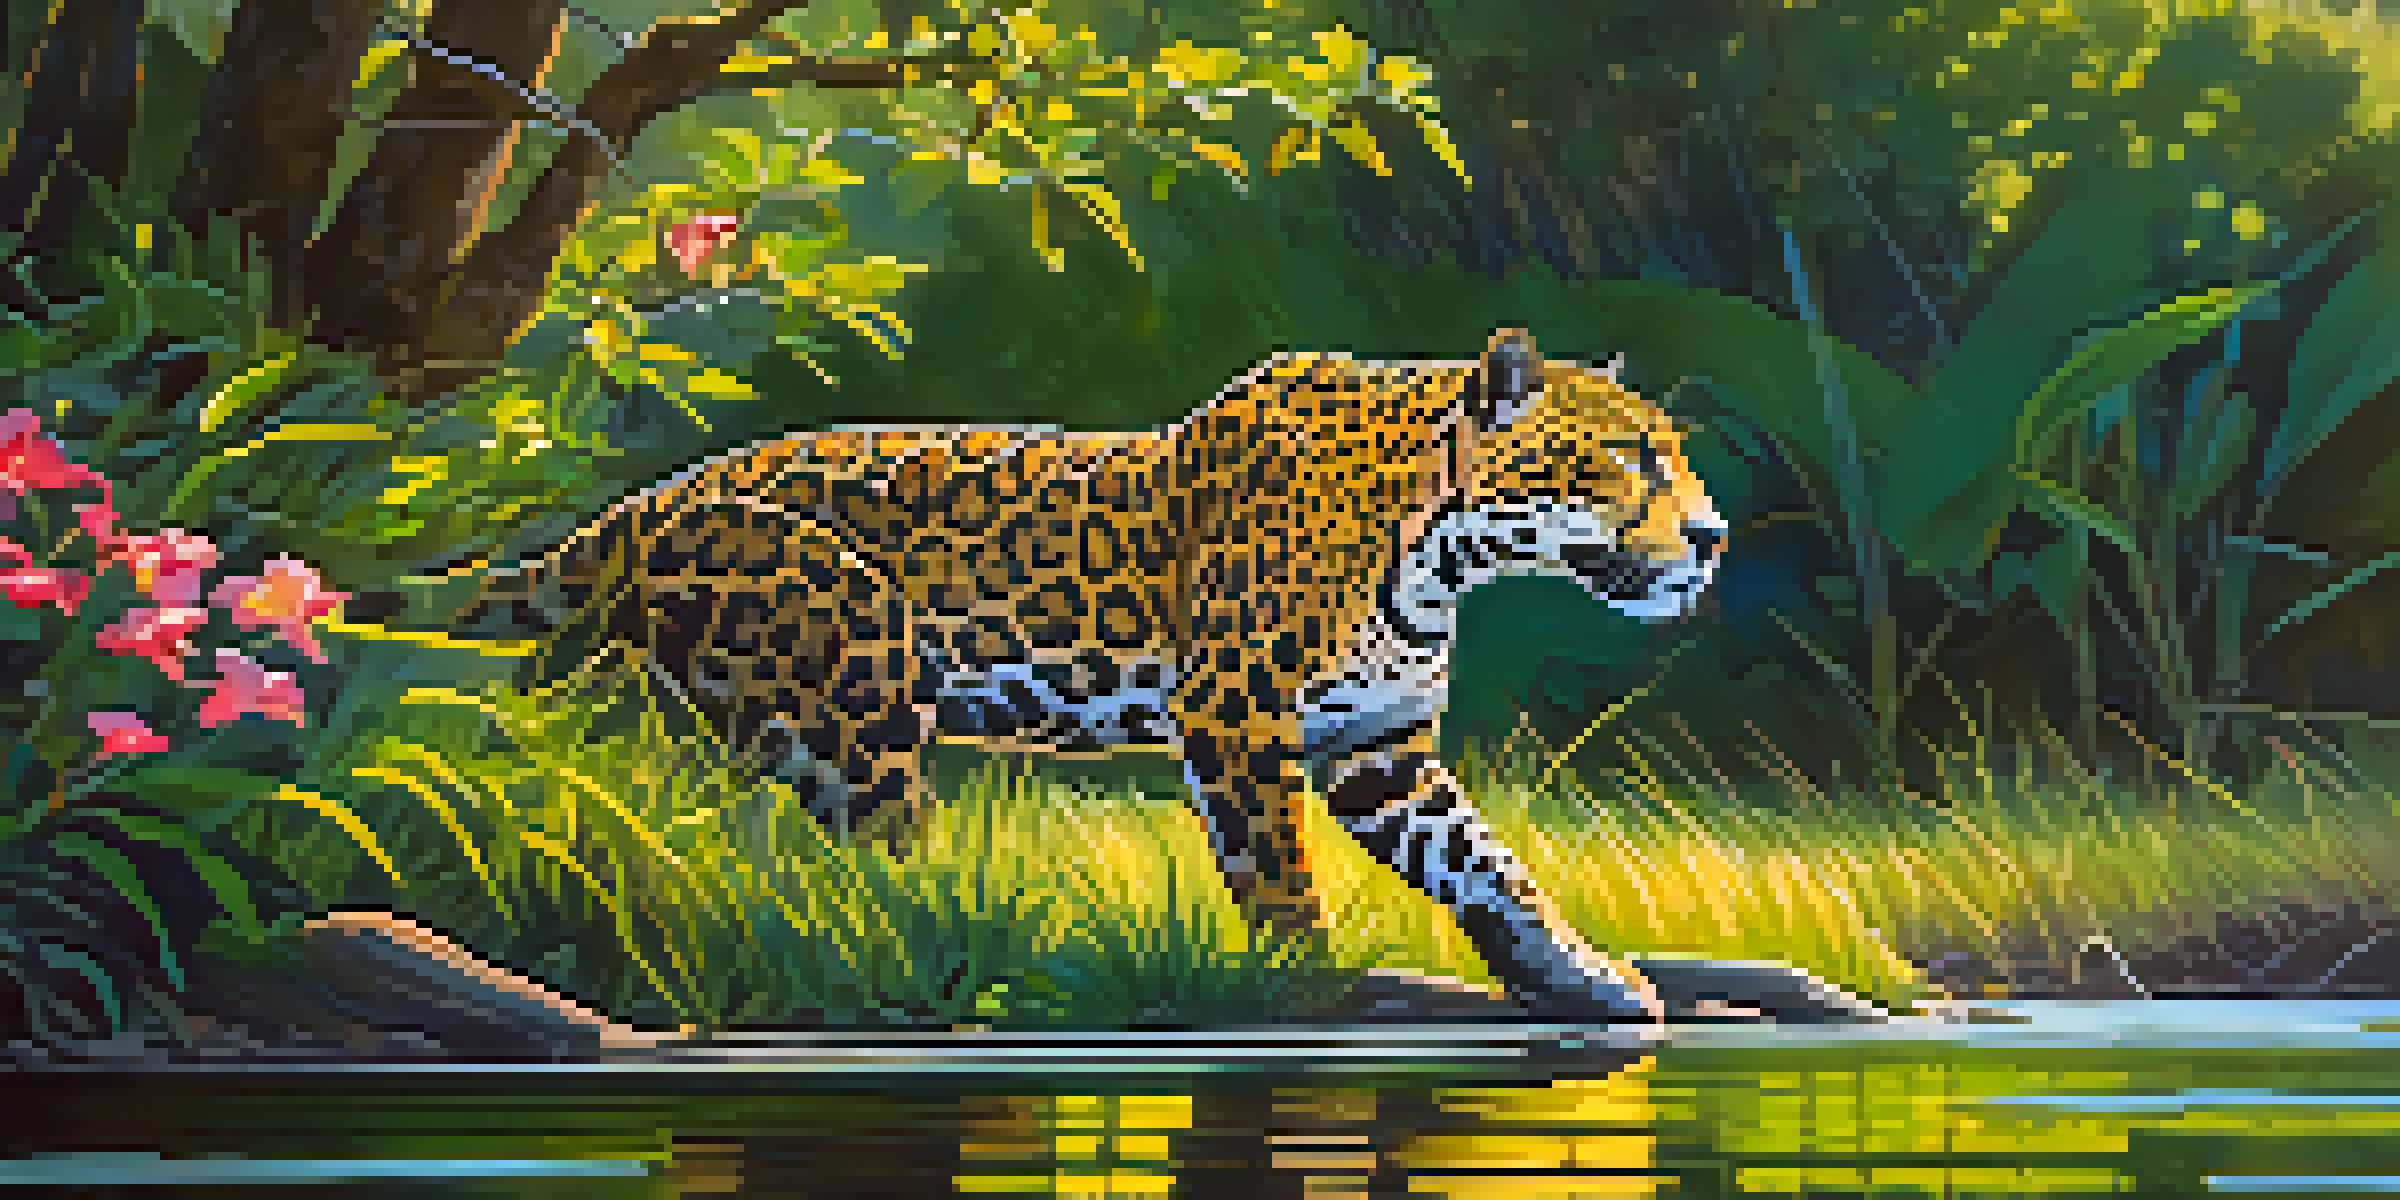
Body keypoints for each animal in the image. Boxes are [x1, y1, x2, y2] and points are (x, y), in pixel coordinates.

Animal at [423, 327, 1728, 1022]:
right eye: (1629, 458)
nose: (1714, 537)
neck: (1436, 555)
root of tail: (645, 503)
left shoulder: (1378, 749)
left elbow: (1490, 866)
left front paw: (1586, 979)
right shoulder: (1236, 716)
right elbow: (1280, 877)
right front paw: (1305, 997)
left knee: (751, 852)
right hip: (859, 674)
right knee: (866, 872)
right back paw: (937, 959)